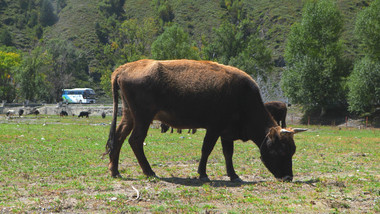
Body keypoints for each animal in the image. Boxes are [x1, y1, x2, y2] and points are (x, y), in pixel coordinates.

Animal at [104, 59, 306, 182]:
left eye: (293, 150)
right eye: (282, 150)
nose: (288, 177)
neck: (242, 97)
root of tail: (124, 69)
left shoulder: (226, 133)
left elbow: (228, 153)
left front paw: (234, 175)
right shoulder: (214, 128)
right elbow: (206, 149)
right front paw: (202, 174)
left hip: (129, 115)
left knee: (119, 138)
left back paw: (115, 171)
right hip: (143, 118)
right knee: (135, 140)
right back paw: (149, 171)